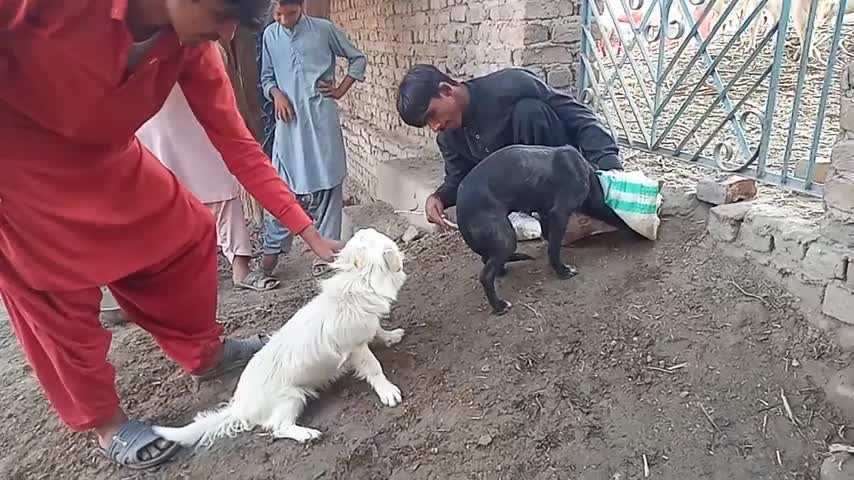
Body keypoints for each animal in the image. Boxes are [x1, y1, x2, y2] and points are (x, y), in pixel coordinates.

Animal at [156, 228, 412, 446]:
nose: (359, 229)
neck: (359, 280)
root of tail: (240, 406)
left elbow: (378, 329)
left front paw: (391, 336)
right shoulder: (356, 348)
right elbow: (374, 368)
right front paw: (388, 391)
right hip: (291, 397)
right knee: (278, 428)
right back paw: (306, 434)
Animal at [458, 143, 632, 316]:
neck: (587, 174)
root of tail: (461, 206)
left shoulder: (545, 214)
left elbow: (549, 238)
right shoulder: (560, 213)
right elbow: (553, 248)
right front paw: (562, 271)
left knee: (486, 259)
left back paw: (501, 271)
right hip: (507, 239)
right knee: (486, 276)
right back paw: (499, 306)